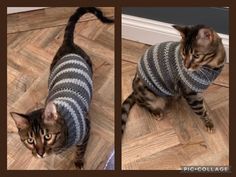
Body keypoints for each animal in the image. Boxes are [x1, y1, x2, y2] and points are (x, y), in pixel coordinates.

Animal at [10, 7, 114, 170]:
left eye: (47, 136)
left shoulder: (86, 130)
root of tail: (68, 44)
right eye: (30, 140)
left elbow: (80, 150)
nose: (40, 153)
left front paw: (78, 161)